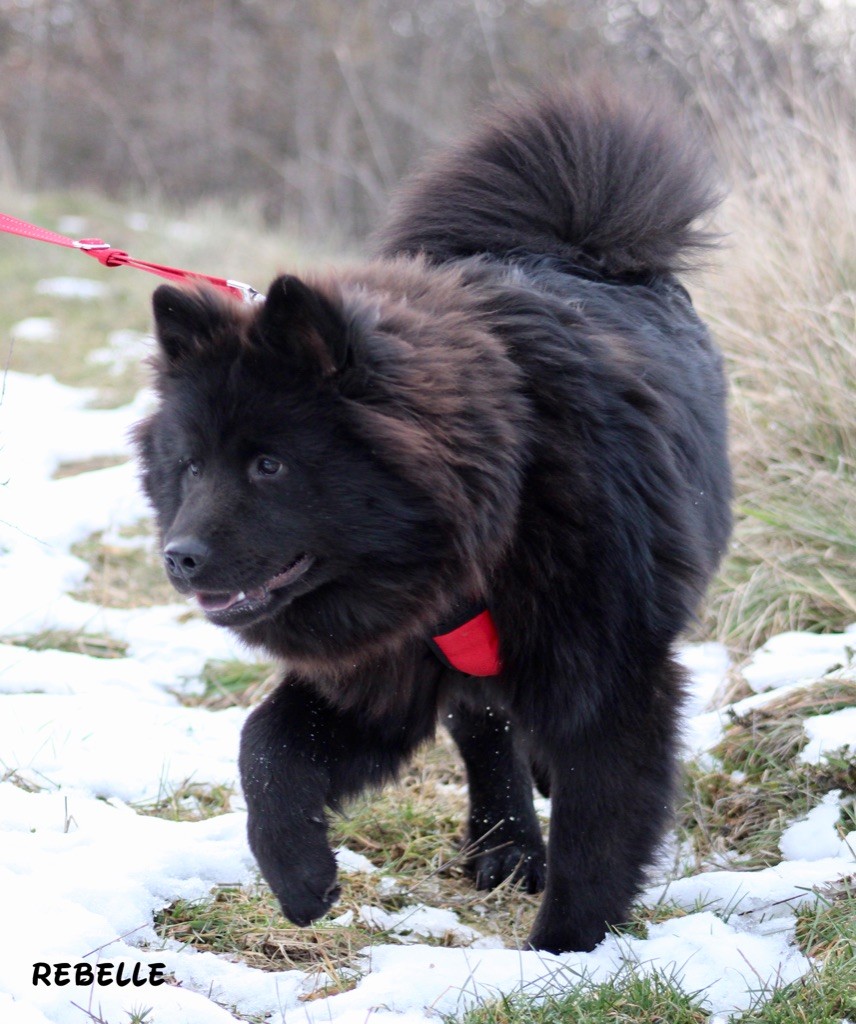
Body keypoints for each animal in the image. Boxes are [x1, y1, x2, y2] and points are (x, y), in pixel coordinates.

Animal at [134, 83, 729, 954]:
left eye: (269, 465)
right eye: (190, 465)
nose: (180, 555)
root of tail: (574, 245)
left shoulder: (608, 672)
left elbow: (599, 829)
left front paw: (563, 955)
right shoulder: (385, 666)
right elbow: (265, 748)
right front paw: (301, 879)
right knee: (485, 729)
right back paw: (504, 848)